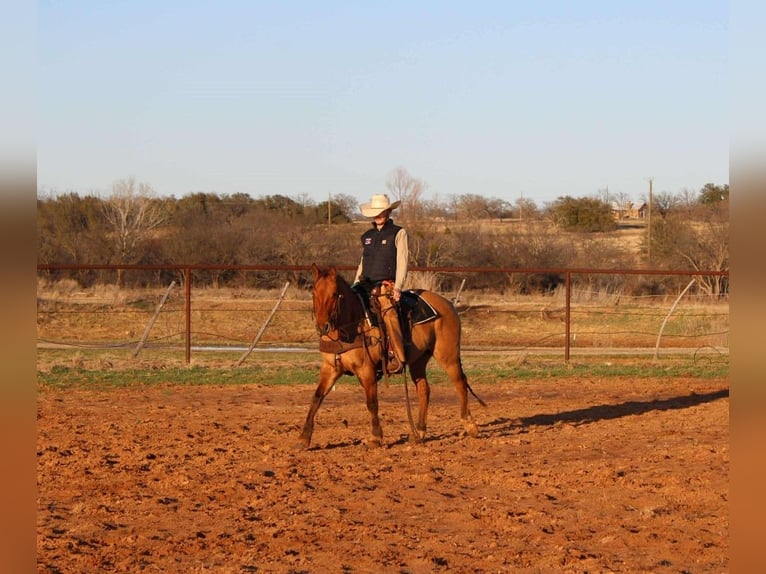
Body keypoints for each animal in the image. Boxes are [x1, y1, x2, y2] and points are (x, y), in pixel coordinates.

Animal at [296, 266, 484, 450]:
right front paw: (303, 439)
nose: (323, 327)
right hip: (418, 361)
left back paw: (470, 425)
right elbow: (316, 398)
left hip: (448, 356)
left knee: (460, 383)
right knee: (424, 390)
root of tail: (448, 304)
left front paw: (375, 438)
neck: (351, 327)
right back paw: (419, 432)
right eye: (314, 292)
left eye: (335, 294)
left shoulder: (366, 370)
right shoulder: (331, 368)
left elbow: (372, 402)